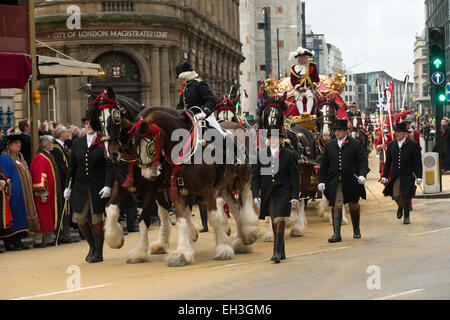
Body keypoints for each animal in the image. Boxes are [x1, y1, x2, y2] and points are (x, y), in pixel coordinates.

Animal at [89, 87, 172, 262]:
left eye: (116, 117)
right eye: (98, 119)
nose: (110, 153)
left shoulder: (150, 189)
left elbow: (144, 219)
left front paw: (139, 252)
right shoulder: (120, 183)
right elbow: (111, 209)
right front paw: (115, 239)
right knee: (165, 209)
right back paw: (163, 243)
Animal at [130, 106, 258, 266]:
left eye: (150, 146)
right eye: (135, 146)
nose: (147, 174)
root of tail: (240, 125)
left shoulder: (207, 190)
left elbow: (214, 218)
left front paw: (223, 250)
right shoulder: (176, 193)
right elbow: (181, 221)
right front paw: (182, 253)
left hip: (243, 175)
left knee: (245, 197)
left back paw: (249, 232)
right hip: (224, 184)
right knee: (235, 207)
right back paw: (241, 241)